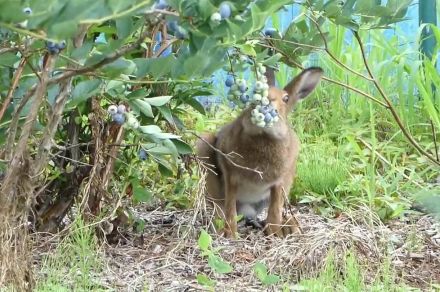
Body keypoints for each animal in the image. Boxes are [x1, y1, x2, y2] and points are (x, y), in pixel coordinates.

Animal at [198, 66, 322, 237]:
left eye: (286, 98)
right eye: (254, 92)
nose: (266, 102)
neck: (264, 136)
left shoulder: (279, 183)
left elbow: (275, 210)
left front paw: (274, 233)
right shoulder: (230, 176)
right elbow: (230, 208)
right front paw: (231, 235)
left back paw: (288, 226)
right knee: (220, 208)